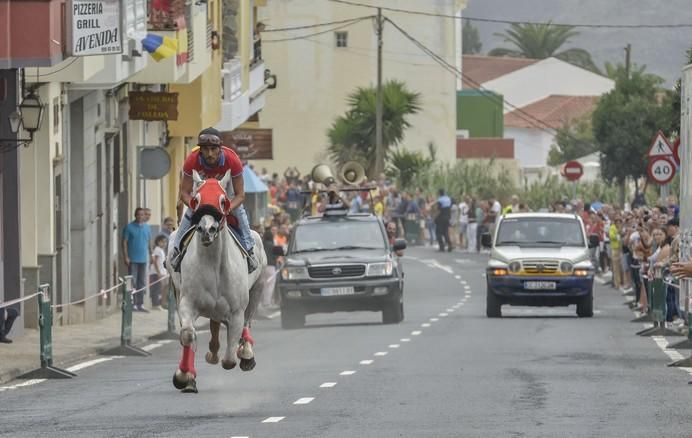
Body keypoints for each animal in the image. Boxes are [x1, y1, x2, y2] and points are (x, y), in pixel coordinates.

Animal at [166, 170, 266, 394]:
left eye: (223, 200)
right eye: (196, 199)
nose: (207, 229)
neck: (213, 267)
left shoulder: (236, 310)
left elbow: (229, 359)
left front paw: (241, 354)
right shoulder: (187, 302)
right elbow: (188, 335)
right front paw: (184, 377)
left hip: (257, 289)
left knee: (246, 322)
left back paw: (246, 353)